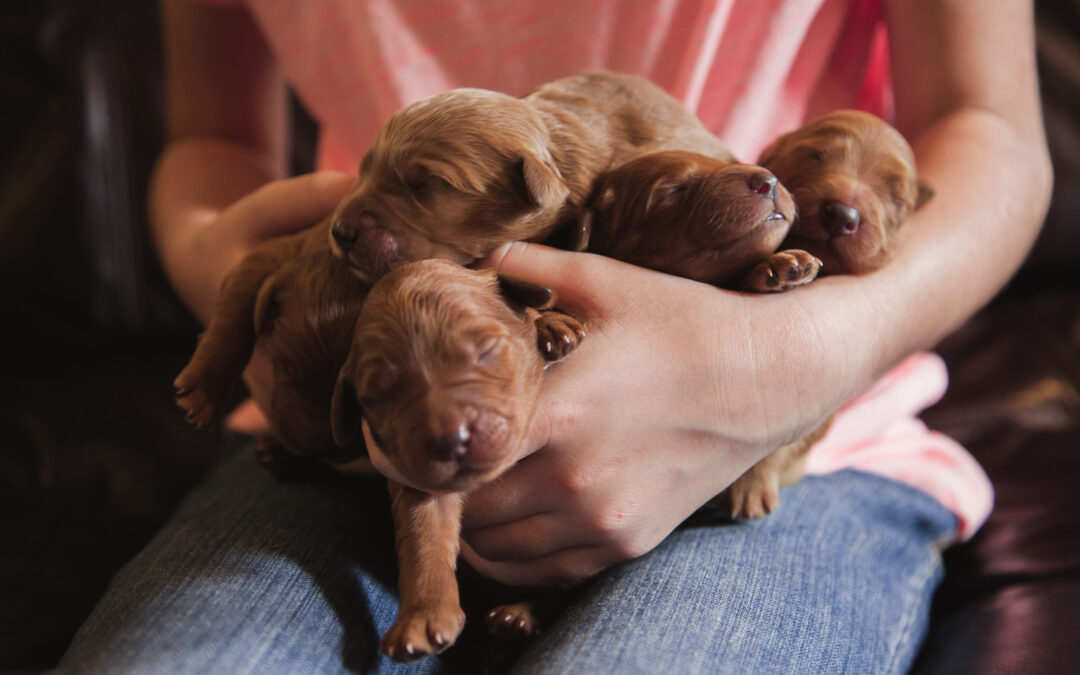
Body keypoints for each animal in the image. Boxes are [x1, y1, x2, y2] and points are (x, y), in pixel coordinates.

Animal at [330, 259, 587, 665]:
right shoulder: (417, 484)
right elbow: (424, 544)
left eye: (486, 349)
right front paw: (421, 619)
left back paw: (520, 616)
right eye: (379, 395)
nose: (450, 439)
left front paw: (552, 323)